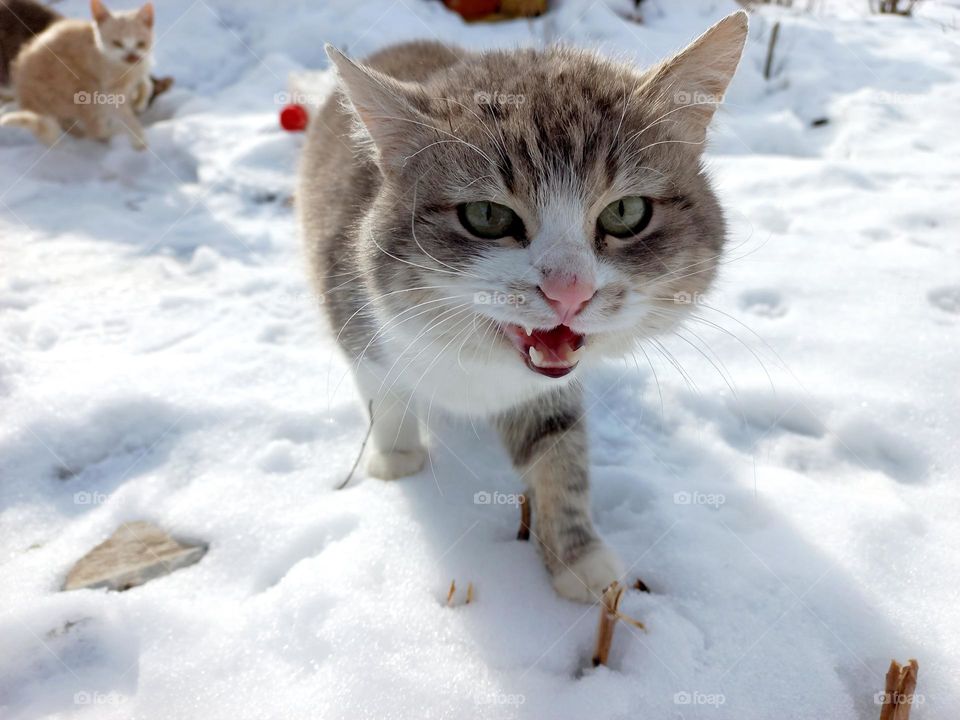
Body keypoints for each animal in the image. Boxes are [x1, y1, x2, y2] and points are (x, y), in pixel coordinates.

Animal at [0, 0, 154, 148]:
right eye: (117, 43)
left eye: (140, 43)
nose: (131, 56)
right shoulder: (109, 87)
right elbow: (124, 114)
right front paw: (138, 138)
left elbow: (146, 84)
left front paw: (140, 101)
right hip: (79, 84)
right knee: (94, 129)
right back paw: (113, 133)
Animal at [300, 14, 752, 604]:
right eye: (486, 215)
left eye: (627, 212)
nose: (569, 291)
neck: (475, 365)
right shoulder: (353, 308)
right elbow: (386, 393)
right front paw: (397, 459)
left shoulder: (549, 386)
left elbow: (559, 447)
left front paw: (576, 555)